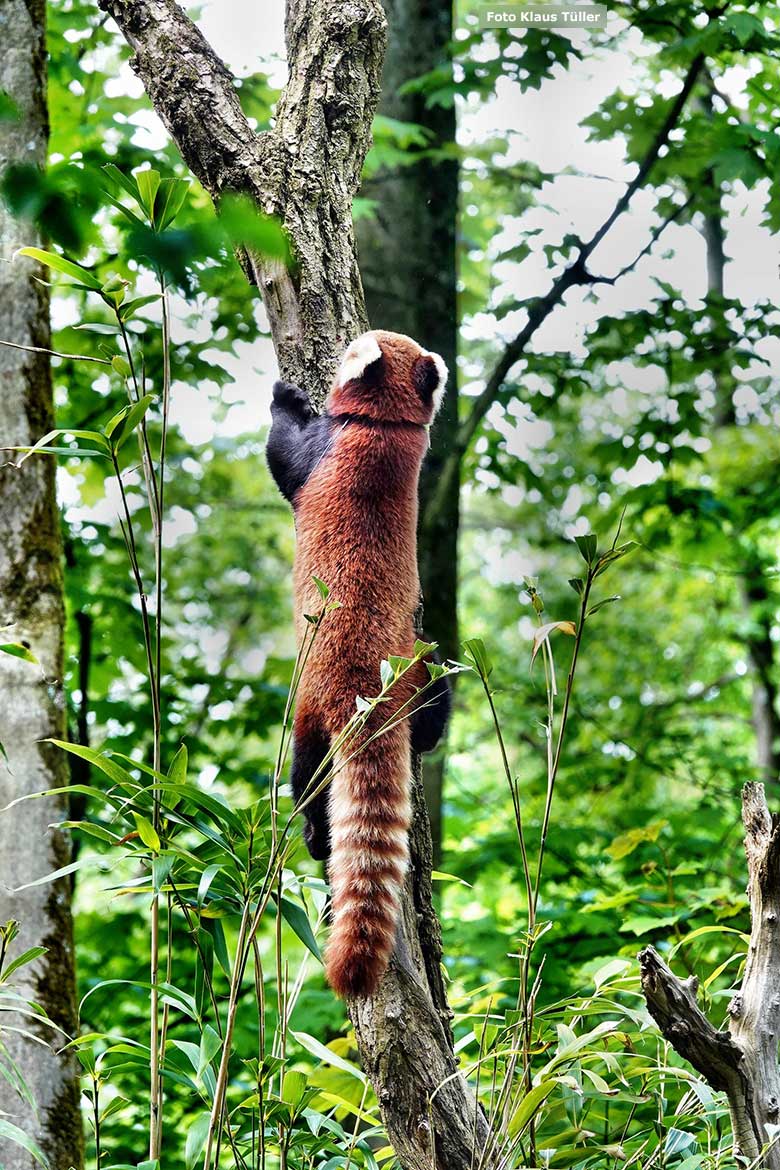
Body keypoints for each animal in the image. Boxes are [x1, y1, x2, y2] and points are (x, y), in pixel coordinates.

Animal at [268, 329, 451, 996]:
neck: (387, 426)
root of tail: (371, 690)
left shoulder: (321, 450)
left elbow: (282, 455)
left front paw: (285, 396)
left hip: (310, 709)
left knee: (306, 778)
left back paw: (315, 837)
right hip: (422, 664)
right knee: (436, 705)